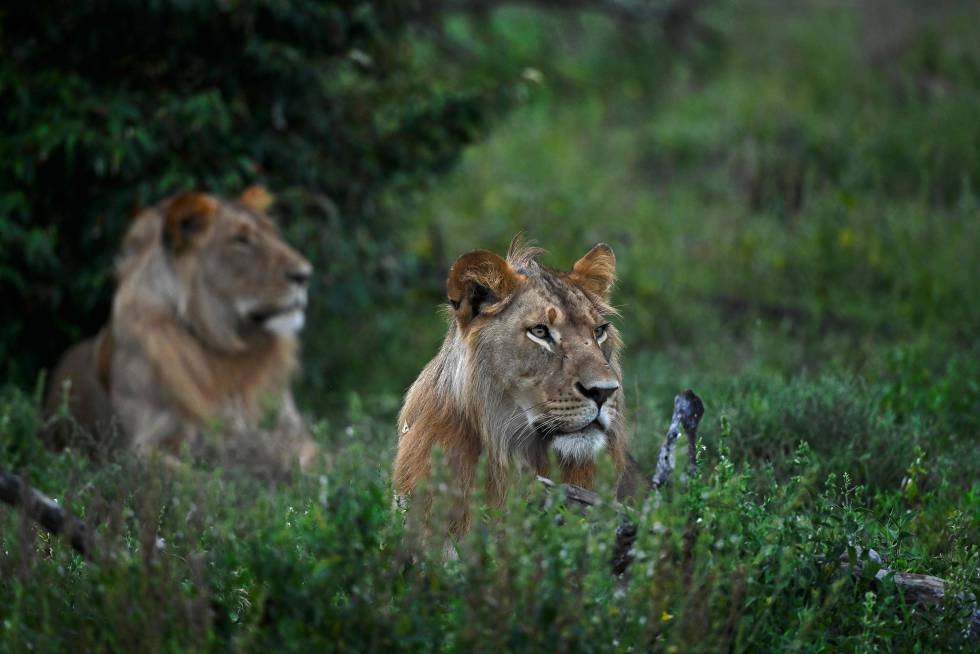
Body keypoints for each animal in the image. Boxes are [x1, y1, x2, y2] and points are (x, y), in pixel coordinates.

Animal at [43, 187, 317, 470]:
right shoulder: (140, 447)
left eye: (275, 234)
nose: (305, 275)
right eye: (241, 240)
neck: (227, 350)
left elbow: (315, 462)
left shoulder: (294, 433)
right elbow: (190, 476)